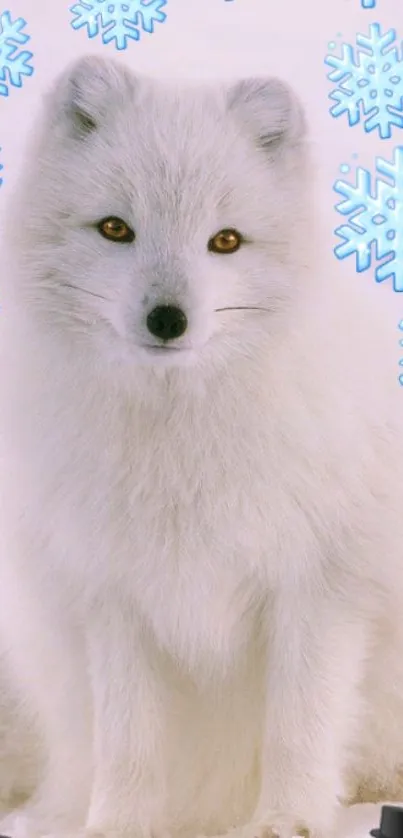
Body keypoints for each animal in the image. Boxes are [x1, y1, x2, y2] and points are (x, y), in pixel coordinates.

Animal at [0, 54, 403, 838]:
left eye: (225, 241)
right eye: (115, 228)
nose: (167, 318)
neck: (180, 442)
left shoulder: (320, 585)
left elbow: (300, 723)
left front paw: (287, 821)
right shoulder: (114, 594)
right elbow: (128, 737)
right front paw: (118, 825)